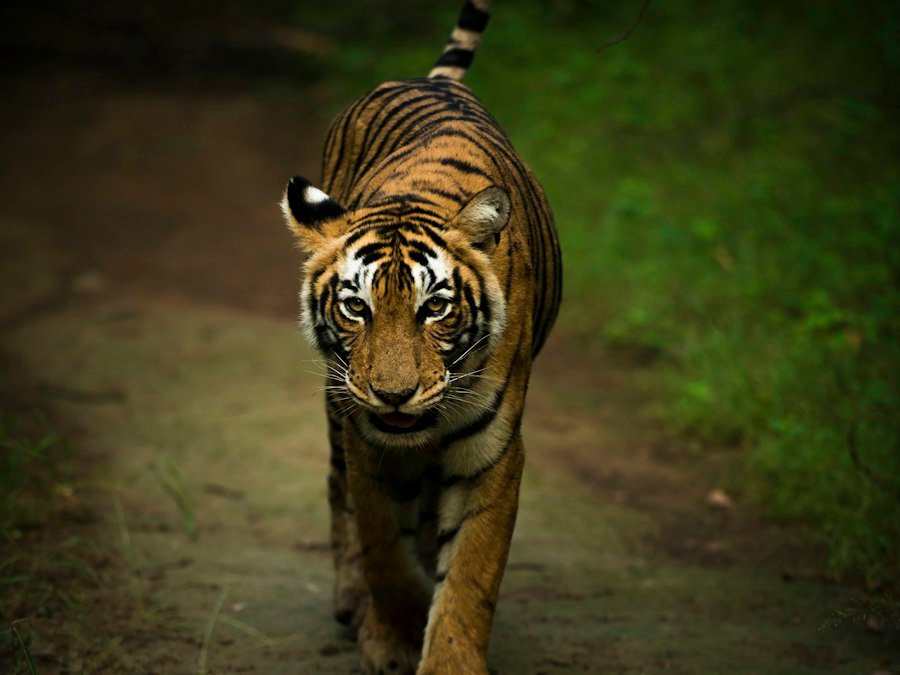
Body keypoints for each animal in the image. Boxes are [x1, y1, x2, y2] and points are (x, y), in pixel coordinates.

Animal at [281, 1, 561, 672]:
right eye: (355, 307)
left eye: (435, 308)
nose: (393, 395)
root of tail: (434, 80)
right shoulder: (367, 444)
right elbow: (385, 550)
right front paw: (393, 636)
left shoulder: (492, 454)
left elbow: (469, 578)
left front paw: (446, 653)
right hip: (336, 407)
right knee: (339, 494)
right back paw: (352, 600)